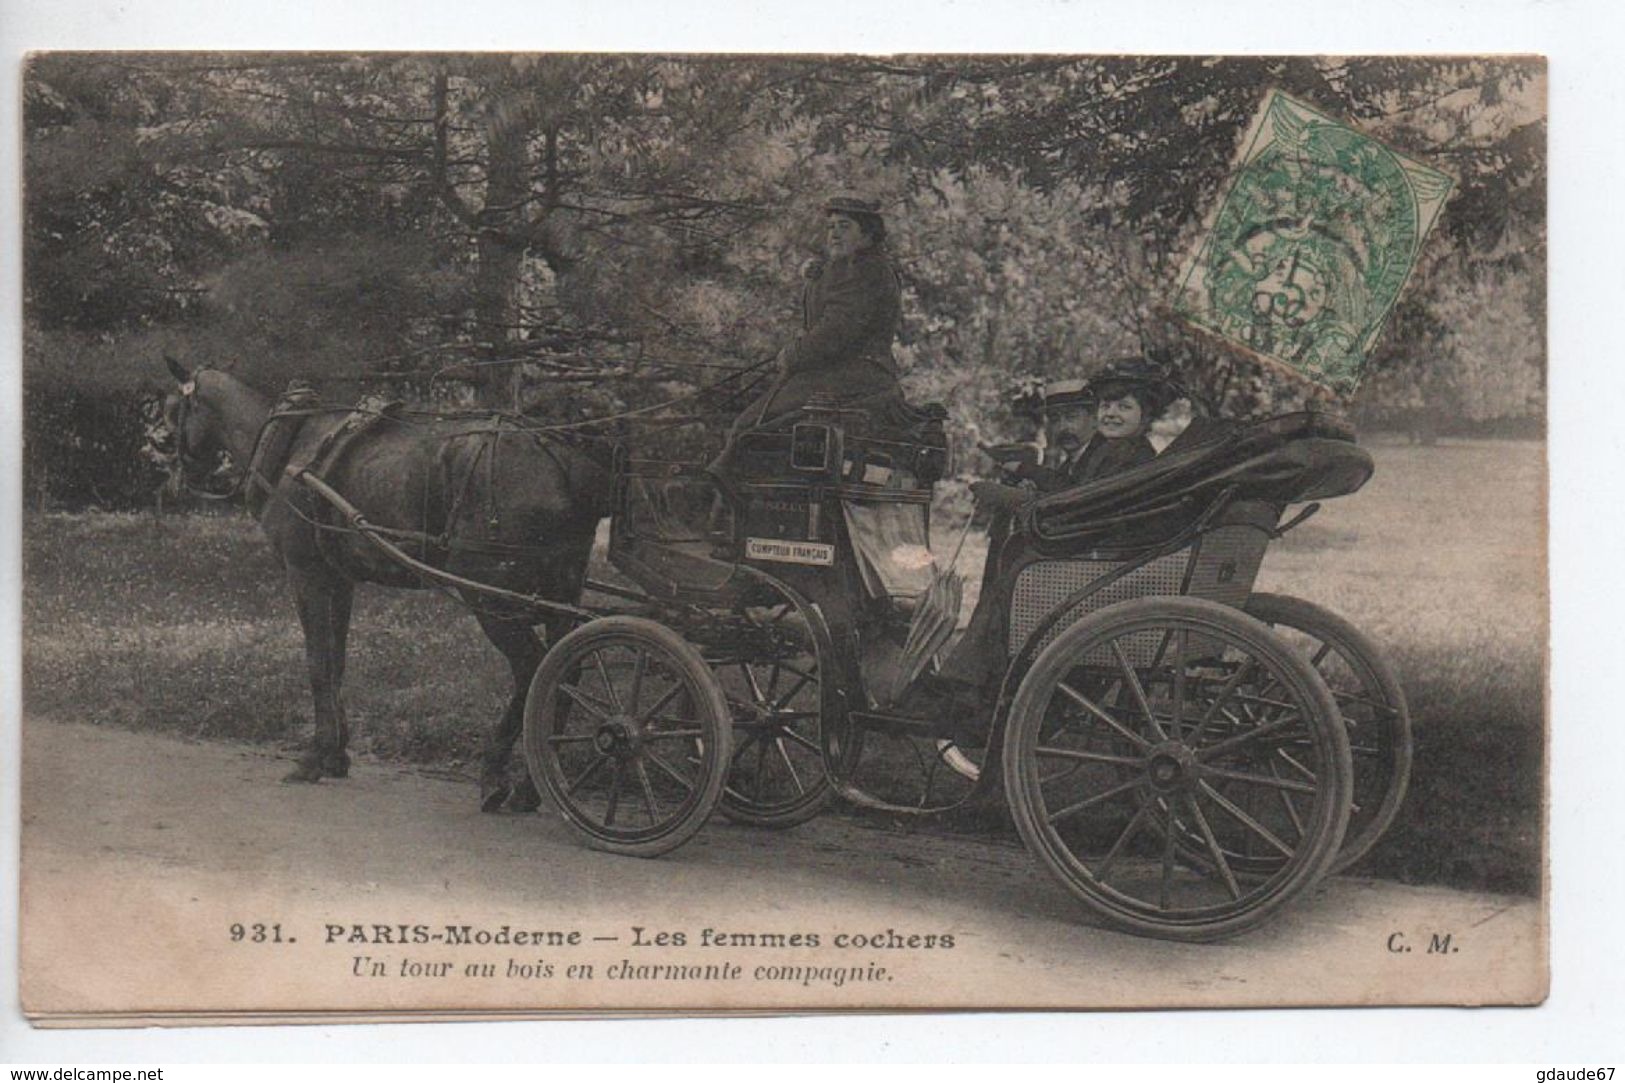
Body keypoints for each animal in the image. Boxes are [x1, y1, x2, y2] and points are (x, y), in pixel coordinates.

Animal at [161, 357, 611, 806]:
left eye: (173, 410)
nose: (175, 477)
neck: (288, 445)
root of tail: (560, 457)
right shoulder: (339, 579)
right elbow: (336, 661)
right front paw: (336, 754)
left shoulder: (305, 573)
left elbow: (317, 664)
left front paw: (314, 756)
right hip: (561, 590)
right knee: (566, 673)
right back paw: (533, 786)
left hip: (491, 597)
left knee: (533, 670)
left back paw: (499, 773)